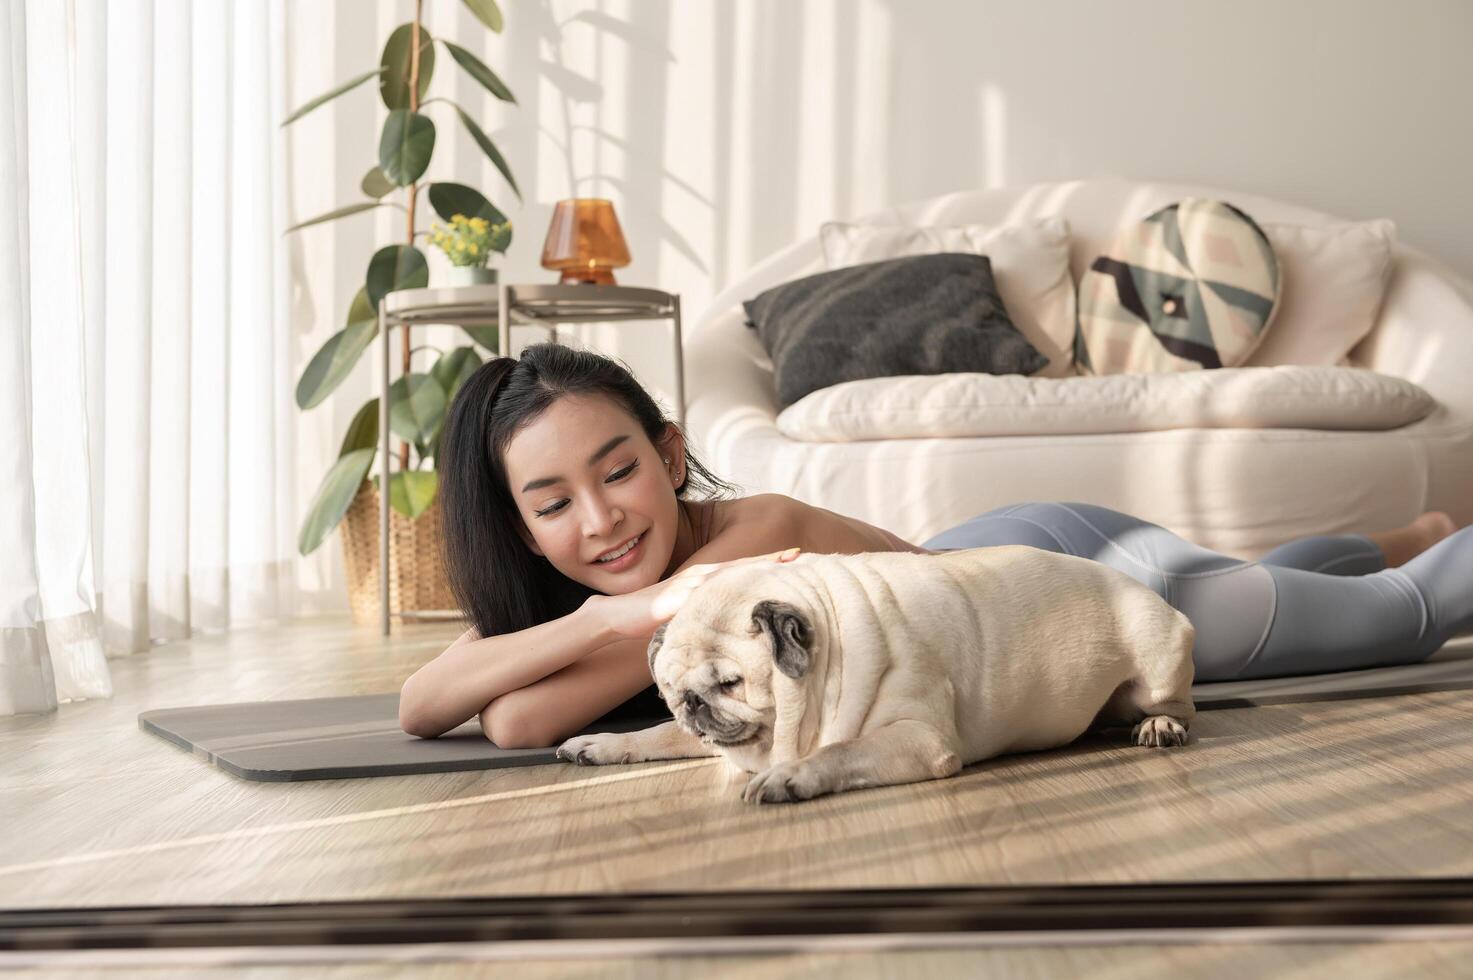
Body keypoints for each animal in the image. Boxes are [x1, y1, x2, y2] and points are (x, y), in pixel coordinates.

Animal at [553, 542, 1196, 801]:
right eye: (670, 692)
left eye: (731, 683)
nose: (694, 705)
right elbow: (653, 737)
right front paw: (600, 743)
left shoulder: (918, 738)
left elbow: (840, 753)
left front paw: (790, 778)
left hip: (1157, 658)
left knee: (1177, 705)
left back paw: (1159, 726)